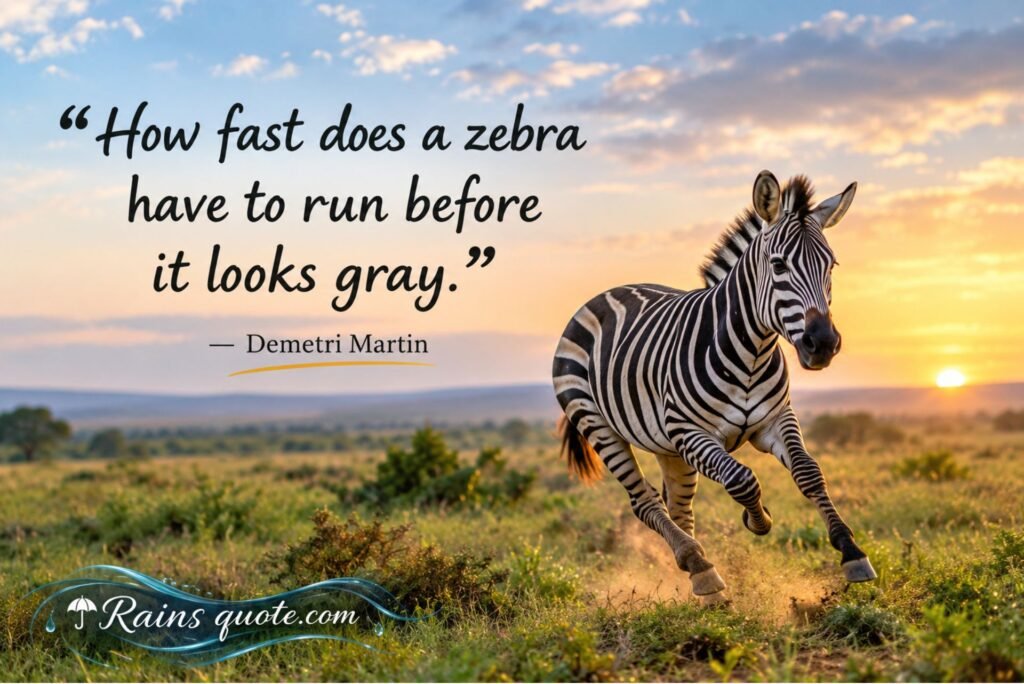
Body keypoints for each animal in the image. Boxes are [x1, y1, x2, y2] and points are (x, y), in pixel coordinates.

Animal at [552, 170, 876, 599]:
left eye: (832, 265)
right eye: (778, 265)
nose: (822, 343)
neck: (752, 353)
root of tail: (606, 293)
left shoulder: (775, 419)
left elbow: (808, 471)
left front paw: (851, 551)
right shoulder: (690, 432)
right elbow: (742, 479)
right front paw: (759, 519)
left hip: (667, 445)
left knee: (677, 505)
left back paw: (700, 576)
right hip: (599, 423)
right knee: (644, 500)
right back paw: (698, 563)